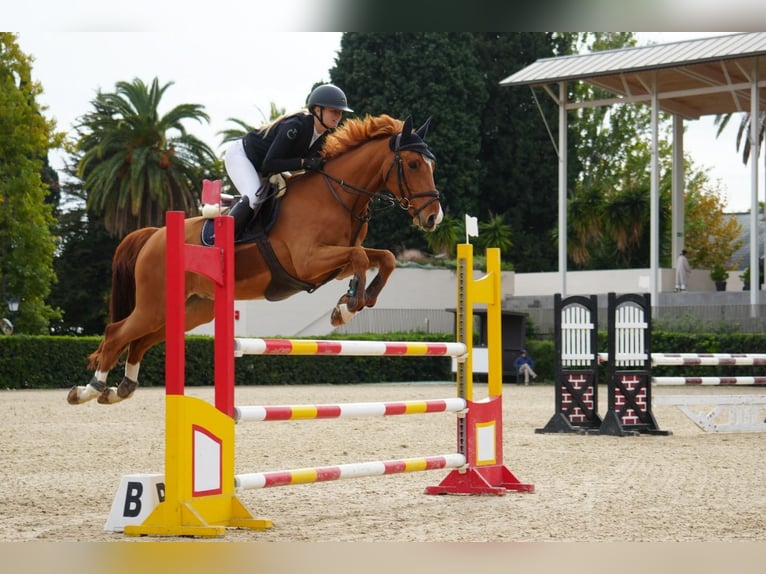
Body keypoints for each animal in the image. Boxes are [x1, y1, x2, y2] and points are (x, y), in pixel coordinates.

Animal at [67, 114, 443, 405]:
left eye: (432, 164)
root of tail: (153, 235)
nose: (433, 218)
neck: (337, 194)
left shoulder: (332, 265)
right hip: (154, 303)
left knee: (142, 339)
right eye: (412, 164)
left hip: (193, 308)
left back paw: (120, 388)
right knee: (117, 332)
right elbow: (362, 257)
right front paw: (348, 306)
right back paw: (89, 390)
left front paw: (350, 303)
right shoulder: (308, 260)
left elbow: (384, 258)